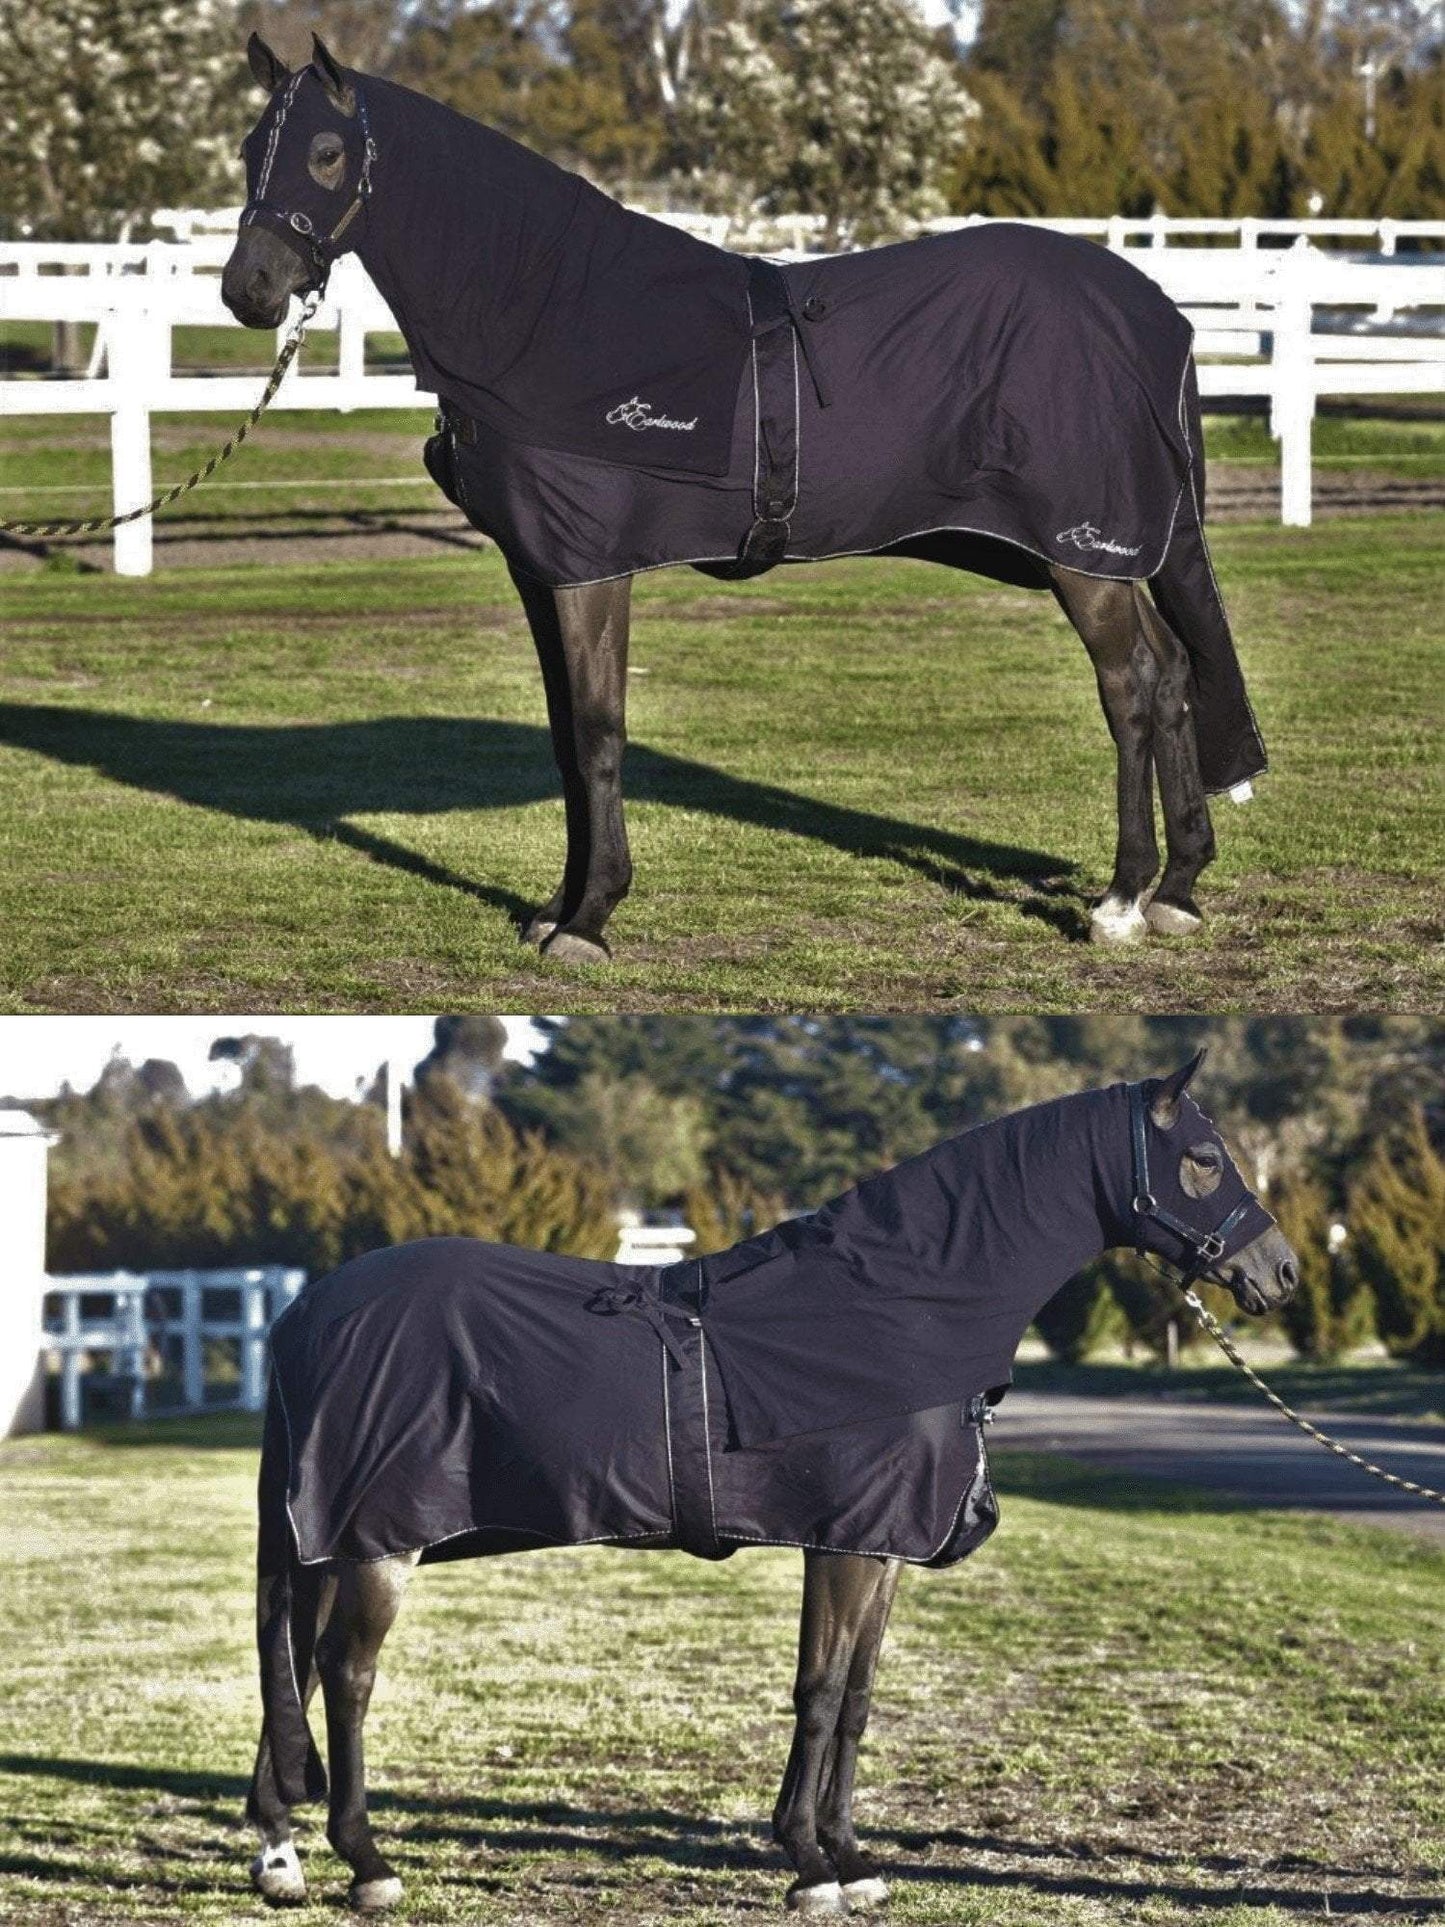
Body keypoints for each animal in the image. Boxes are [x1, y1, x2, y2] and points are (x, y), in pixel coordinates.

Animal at [221, 37, 1269, 966]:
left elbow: (598, 734)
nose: (249, 291)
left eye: (326, 152)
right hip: (1099, 555)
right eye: (246, 148)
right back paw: (1178, 889)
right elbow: (564, 740)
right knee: (1174, 675)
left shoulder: (593, 569)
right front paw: (554, 907)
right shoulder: (540, 566)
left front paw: (589, 920)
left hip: (1081, 554)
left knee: (1131, 684)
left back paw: (1122, 900)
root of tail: (1154, 314)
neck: (552, 310)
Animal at [243, 1056, 1299, 1914]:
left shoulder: (879, 1546)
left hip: (332, 1543)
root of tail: (303, 1312)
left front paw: (847, 1856)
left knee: (292, 1661)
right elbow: (820, 1690)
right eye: (1203, 1158)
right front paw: (808, 1864)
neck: (893, 1306)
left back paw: (281, 1850)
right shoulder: (841, 1542)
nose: (1280, 1271)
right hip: (382, 1541)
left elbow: (856, 1695)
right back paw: (366, 1861)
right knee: (344, 1674)